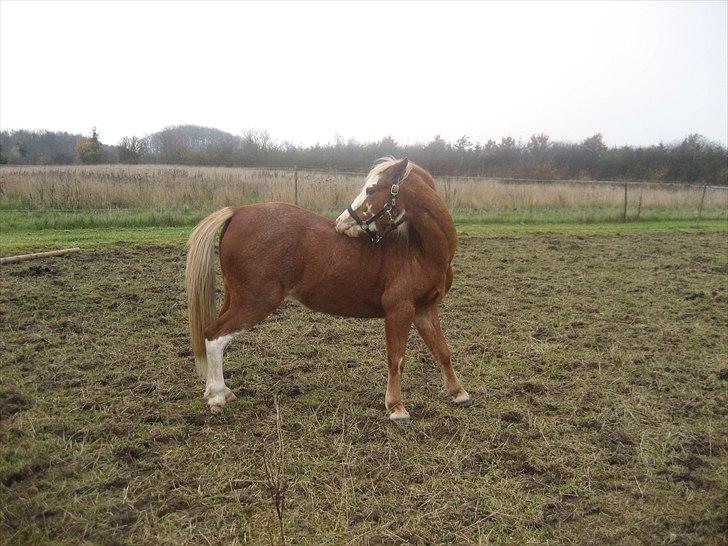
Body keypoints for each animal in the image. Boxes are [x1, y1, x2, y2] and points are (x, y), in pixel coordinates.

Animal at [186, 155, 472, 422]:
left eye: (371, 190)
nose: (341, 223)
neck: (419, 249)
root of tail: (238, 211)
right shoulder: (399, 311)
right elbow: (396, 359)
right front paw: (396, 408)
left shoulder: (425, 310)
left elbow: (442, 352)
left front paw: (459, 394)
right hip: (255, 302)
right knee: (214, 336)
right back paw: (217, 397)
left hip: (237, 299)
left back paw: (220, 392)